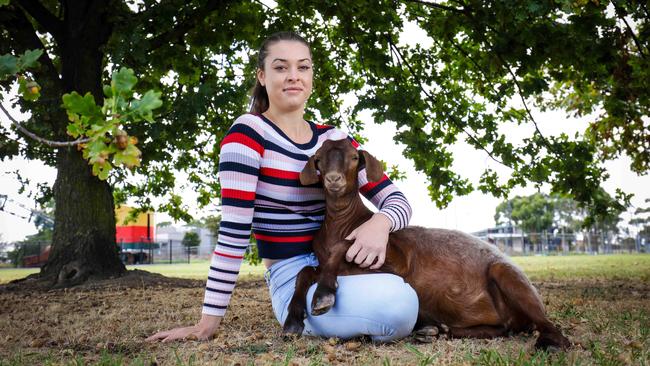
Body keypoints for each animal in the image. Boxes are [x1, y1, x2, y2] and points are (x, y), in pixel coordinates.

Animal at [280, 139, 568, 350]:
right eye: (319, 159)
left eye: (353, 158)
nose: (333, 180)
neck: (344, 222)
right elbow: (305, 271)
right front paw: (293, 321)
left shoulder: (394, 259)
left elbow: (343, 248)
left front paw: (322, 295)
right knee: (503, 328)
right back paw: (436, 329)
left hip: (507, 274)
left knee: (548, 326)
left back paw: (549, 342)